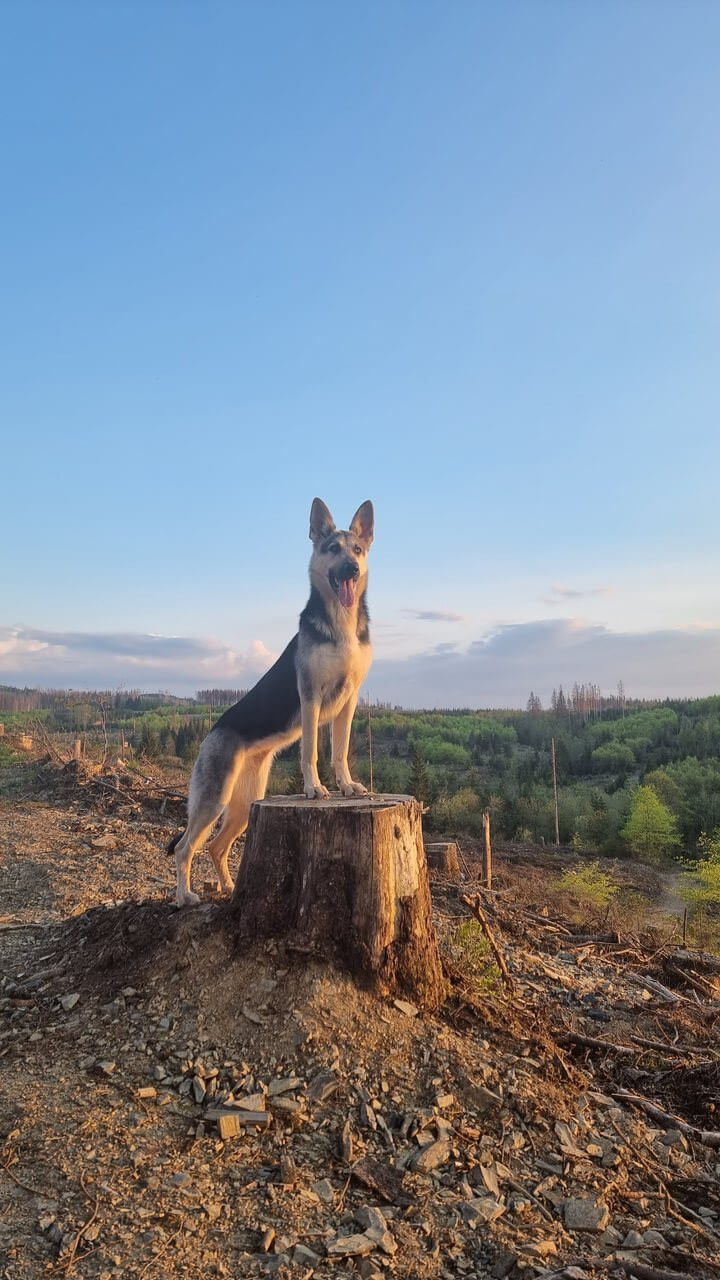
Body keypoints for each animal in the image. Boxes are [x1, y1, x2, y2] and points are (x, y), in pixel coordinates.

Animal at [169, 498, 374, 906]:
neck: (340, 623)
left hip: (245, 805)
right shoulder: (311, 696)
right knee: (185, 848)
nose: (352, 569)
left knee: (216, 846)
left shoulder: (348, 702)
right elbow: (311, 750)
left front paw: (346, 785)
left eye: (358, 549)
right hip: (214, 800)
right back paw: (184, 896)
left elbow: (340, 751)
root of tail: (210, 733)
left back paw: (230, 889)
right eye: (332, 549)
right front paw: (314, 789)